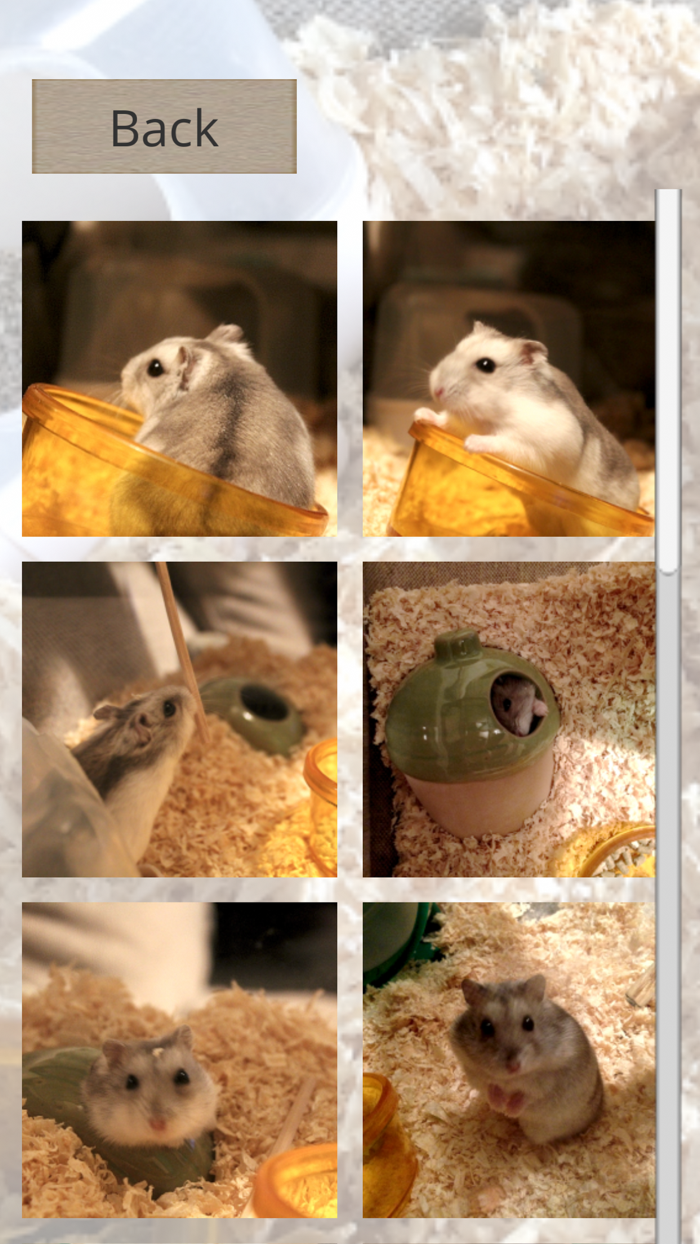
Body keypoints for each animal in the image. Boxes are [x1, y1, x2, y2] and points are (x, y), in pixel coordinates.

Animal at [414, 322, 640, 526]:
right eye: (456, 349)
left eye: (486, 365)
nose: (436, 391)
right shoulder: (462, 422)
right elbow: (446, 420)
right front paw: (419, 414)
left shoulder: (537, 448)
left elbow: (502, 442)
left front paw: (470, 443)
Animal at [449, 974, 604, 1145]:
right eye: (486, 1026)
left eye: (529, 1022)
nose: (513, 1067)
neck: (511, 1079)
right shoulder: (474, 1072)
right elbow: (490, 1086)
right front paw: (500, 1106)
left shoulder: (551, 1078)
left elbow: (530, 1094)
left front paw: (509, 1110)